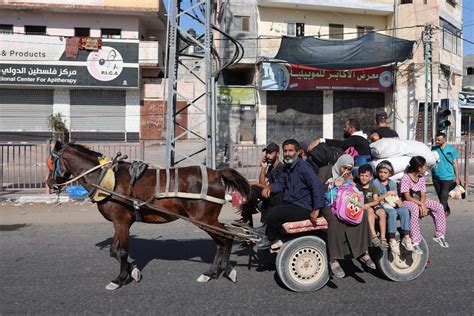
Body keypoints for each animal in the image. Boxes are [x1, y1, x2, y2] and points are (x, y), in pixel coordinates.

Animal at [46, 142, 252, 290]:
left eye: (51, 162)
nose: (49, 183)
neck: (106, 178)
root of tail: (217, 173)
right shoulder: (121, 223)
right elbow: (114, 250)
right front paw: (133, 271)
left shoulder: (121, 221)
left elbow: (120, 251)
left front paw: (120, 279)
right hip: (206, 220)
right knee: (222, 241)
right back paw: (213, 273)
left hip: (204, 219)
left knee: (226, 238)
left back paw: (223, 271)